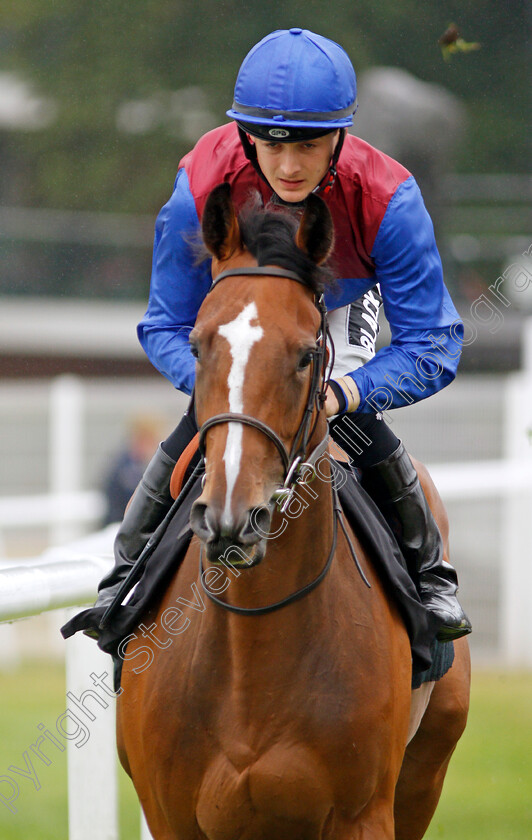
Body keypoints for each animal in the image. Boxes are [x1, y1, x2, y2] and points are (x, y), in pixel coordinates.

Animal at [116, 185, 470, 840]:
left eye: (307, 356)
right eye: (198, 346)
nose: (234, 515)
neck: (254, 650)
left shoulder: (364, 814)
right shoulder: (168, 812)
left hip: (426, 771)